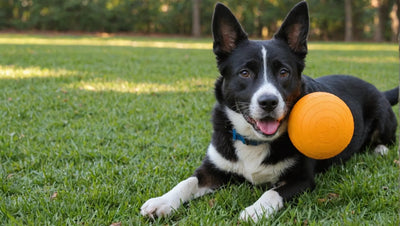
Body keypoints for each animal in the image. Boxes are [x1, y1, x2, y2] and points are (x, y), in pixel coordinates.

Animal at [139, 0, 398, 222]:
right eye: (245, 73)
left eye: (284, 72)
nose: (268, 102)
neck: (254, 141)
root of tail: (381, 91)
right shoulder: (212, 168)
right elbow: (187, 182)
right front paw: (162, 201)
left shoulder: (301, 178)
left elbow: (272, 192)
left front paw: (255, 210)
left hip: (383, 120)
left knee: (387, 139)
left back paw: (380, 149)